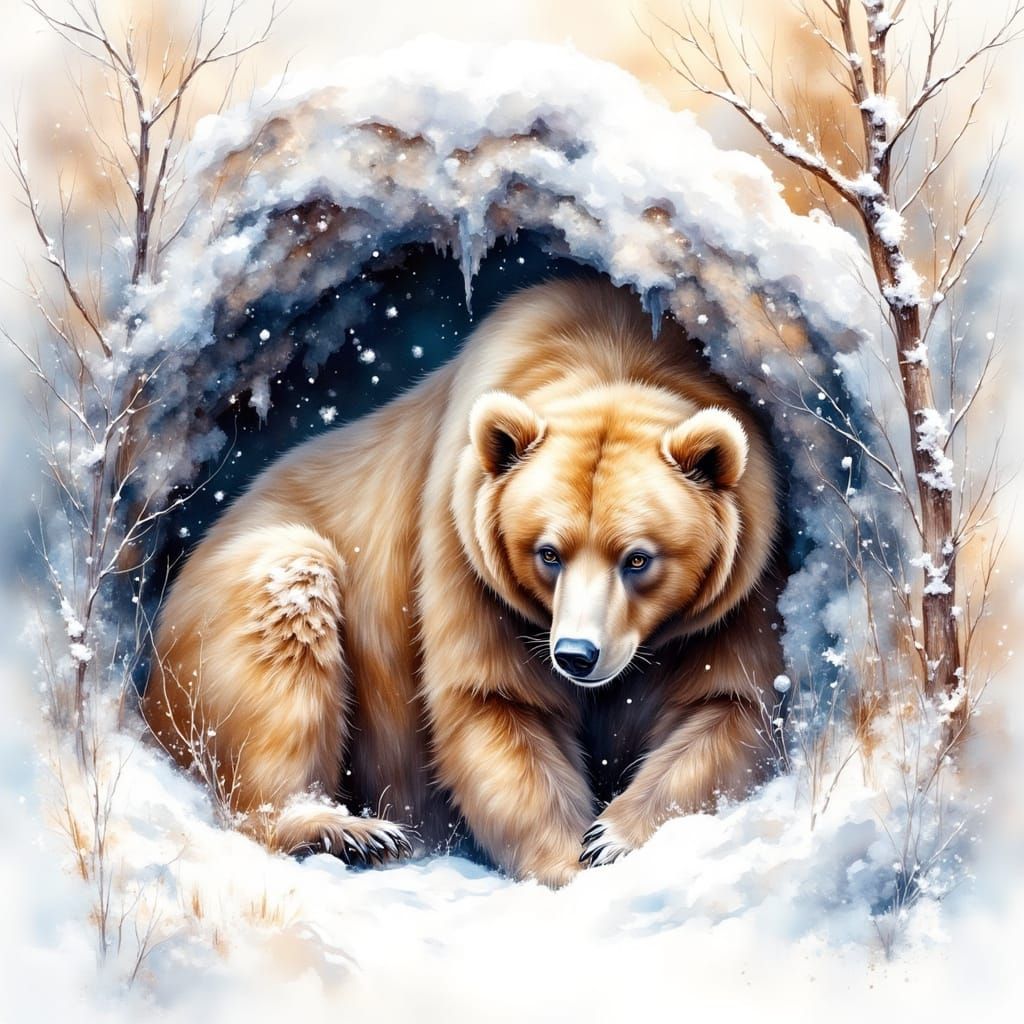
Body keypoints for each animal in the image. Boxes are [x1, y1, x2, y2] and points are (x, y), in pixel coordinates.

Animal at [142, 277, 783, 886]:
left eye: (638, 559)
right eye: (547, 552)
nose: (576, 654)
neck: (613, 354)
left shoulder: (739, 589)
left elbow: (731, 706)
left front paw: (612, 838)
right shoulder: (465, 551)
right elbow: (494, 702)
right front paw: (568, 862)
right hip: (223, 617)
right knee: (283, 626)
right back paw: (345, 829)